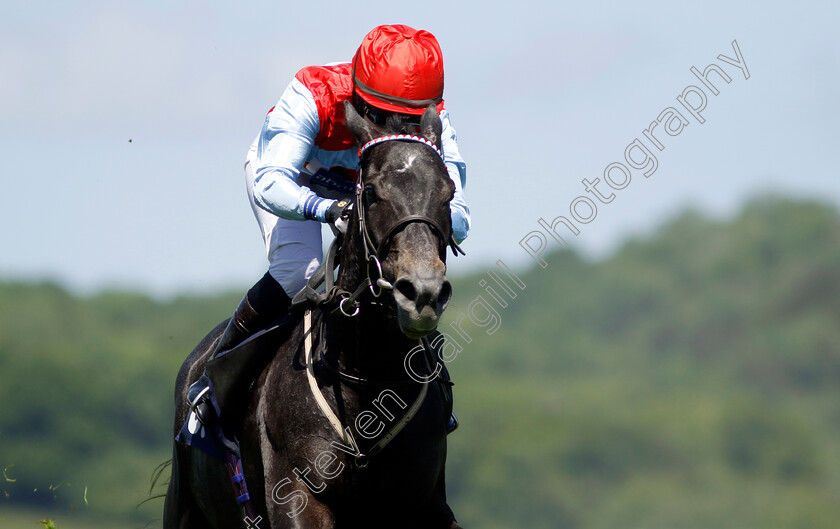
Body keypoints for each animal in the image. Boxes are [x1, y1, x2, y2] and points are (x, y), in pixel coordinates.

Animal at [164, 101, 466, 524]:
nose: (422, 292)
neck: (367, 374)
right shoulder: (297, 493)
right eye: (370, 193)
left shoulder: (419, 499)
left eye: (448, 192)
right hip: (184, 503)